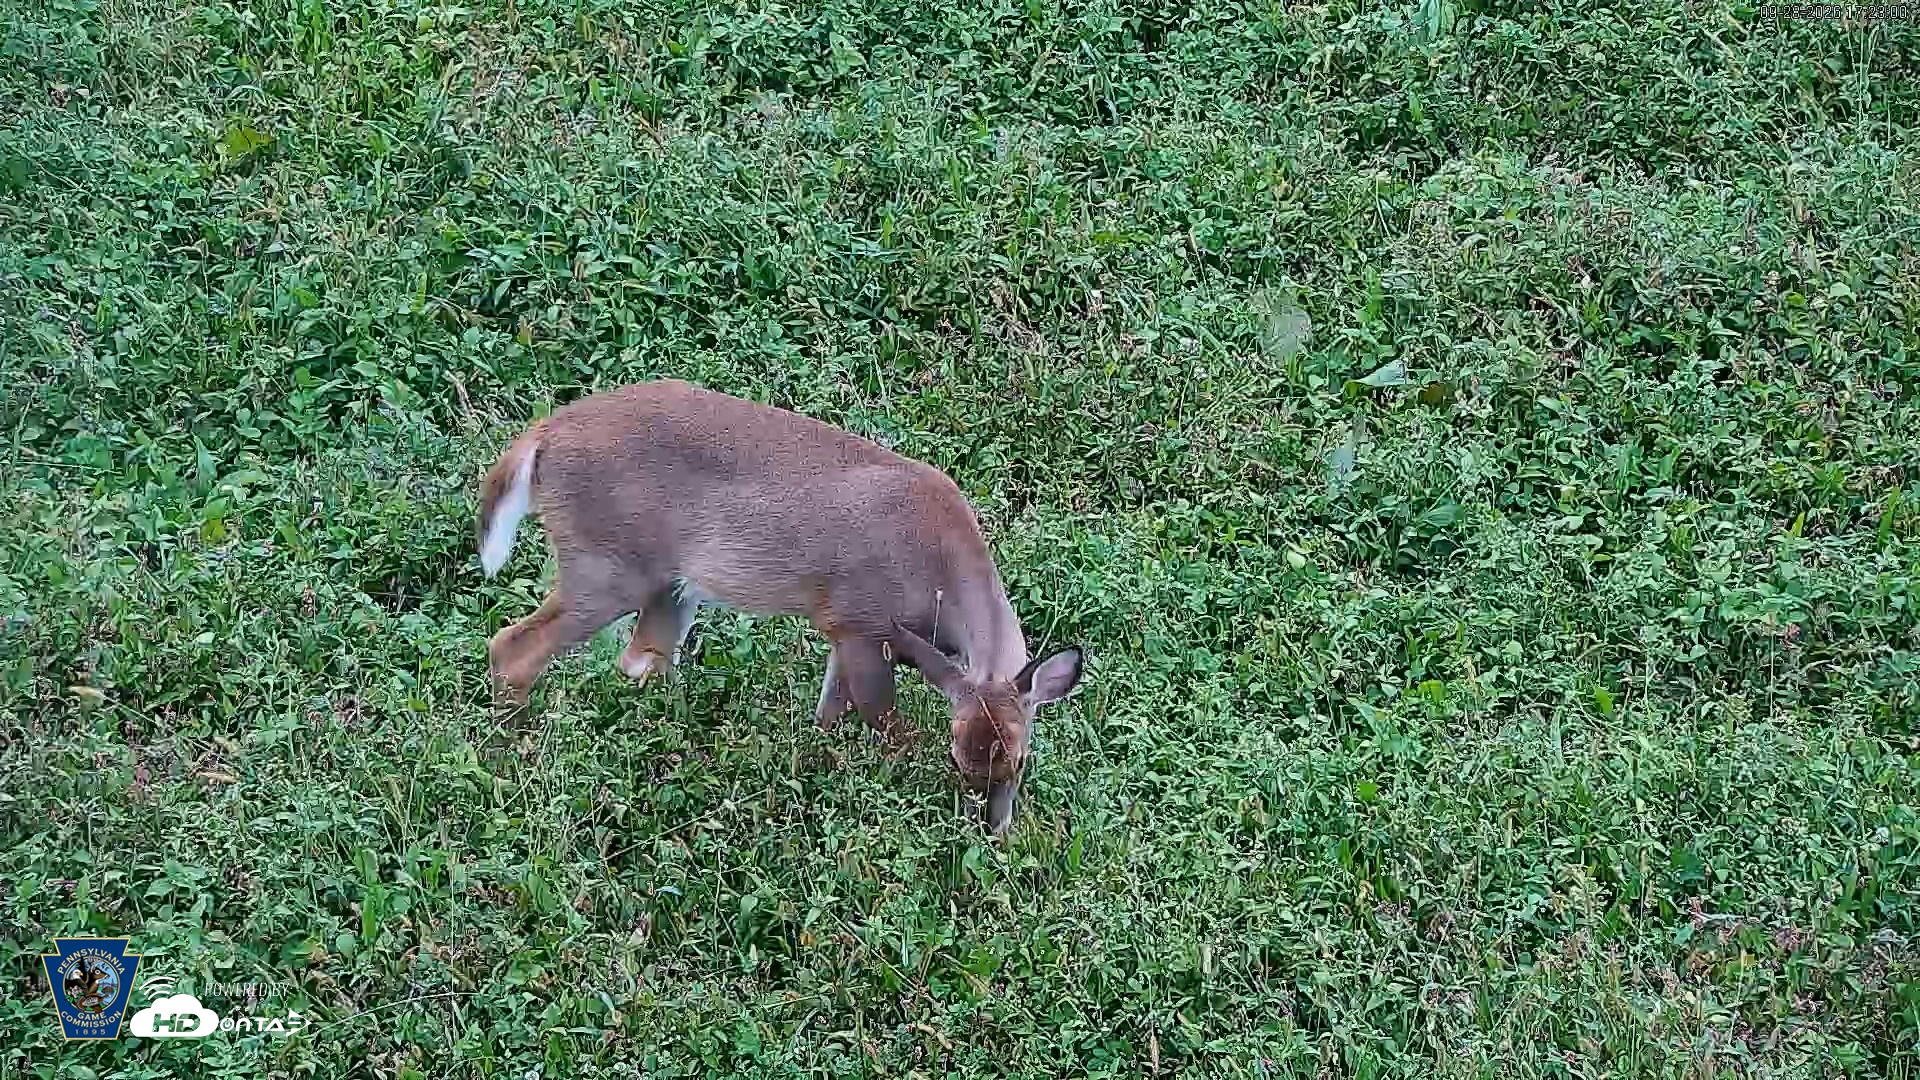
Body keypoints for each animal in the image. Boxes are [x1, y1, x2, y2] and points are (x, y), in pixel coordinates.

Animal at [474, 379, 1084, 835]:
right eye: (957, 755)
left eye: (1020, 758)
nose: (991, 827)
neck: (939, 568)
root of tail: (545, 434)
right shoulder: (860, 621)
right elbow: (889, 727)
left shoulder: (845, 632)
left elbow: (828, 717)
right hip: (604, 567)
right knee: (513, 647)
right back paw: (511, 754)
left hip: (669, 585)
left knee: (641, 657)